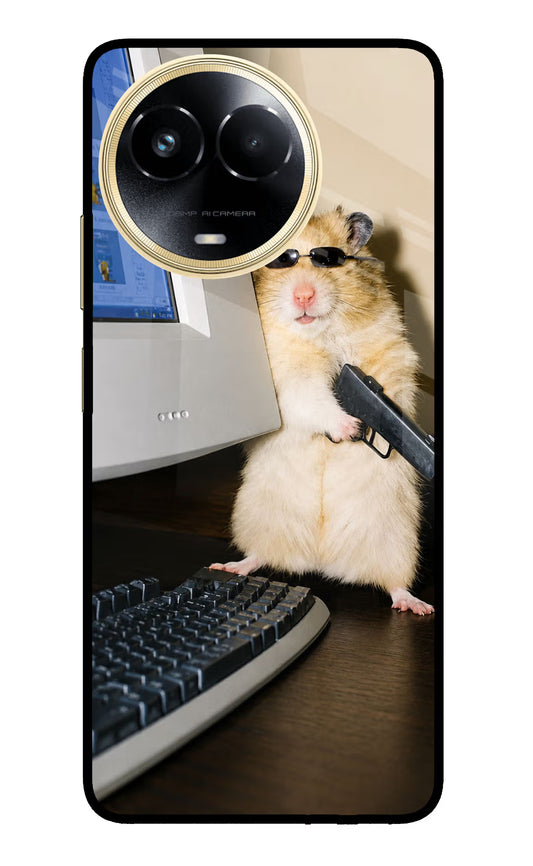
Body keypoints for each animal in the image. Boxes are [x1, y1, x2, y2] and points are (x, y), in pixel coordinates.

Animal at [211, 207, 434, 615]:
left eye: (328, 260)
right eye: (280, 262)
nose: (303, 295)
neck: (320, 334)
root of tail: (321, 561)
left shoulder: (389, 354)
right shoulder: (288, 379)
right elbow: (313, 399)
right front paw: (350, 428)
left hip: (397, 541)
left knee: (394, 583)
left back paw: (416, 605)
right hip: (257, 518)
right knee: (259, 555)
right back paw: (230, 566)